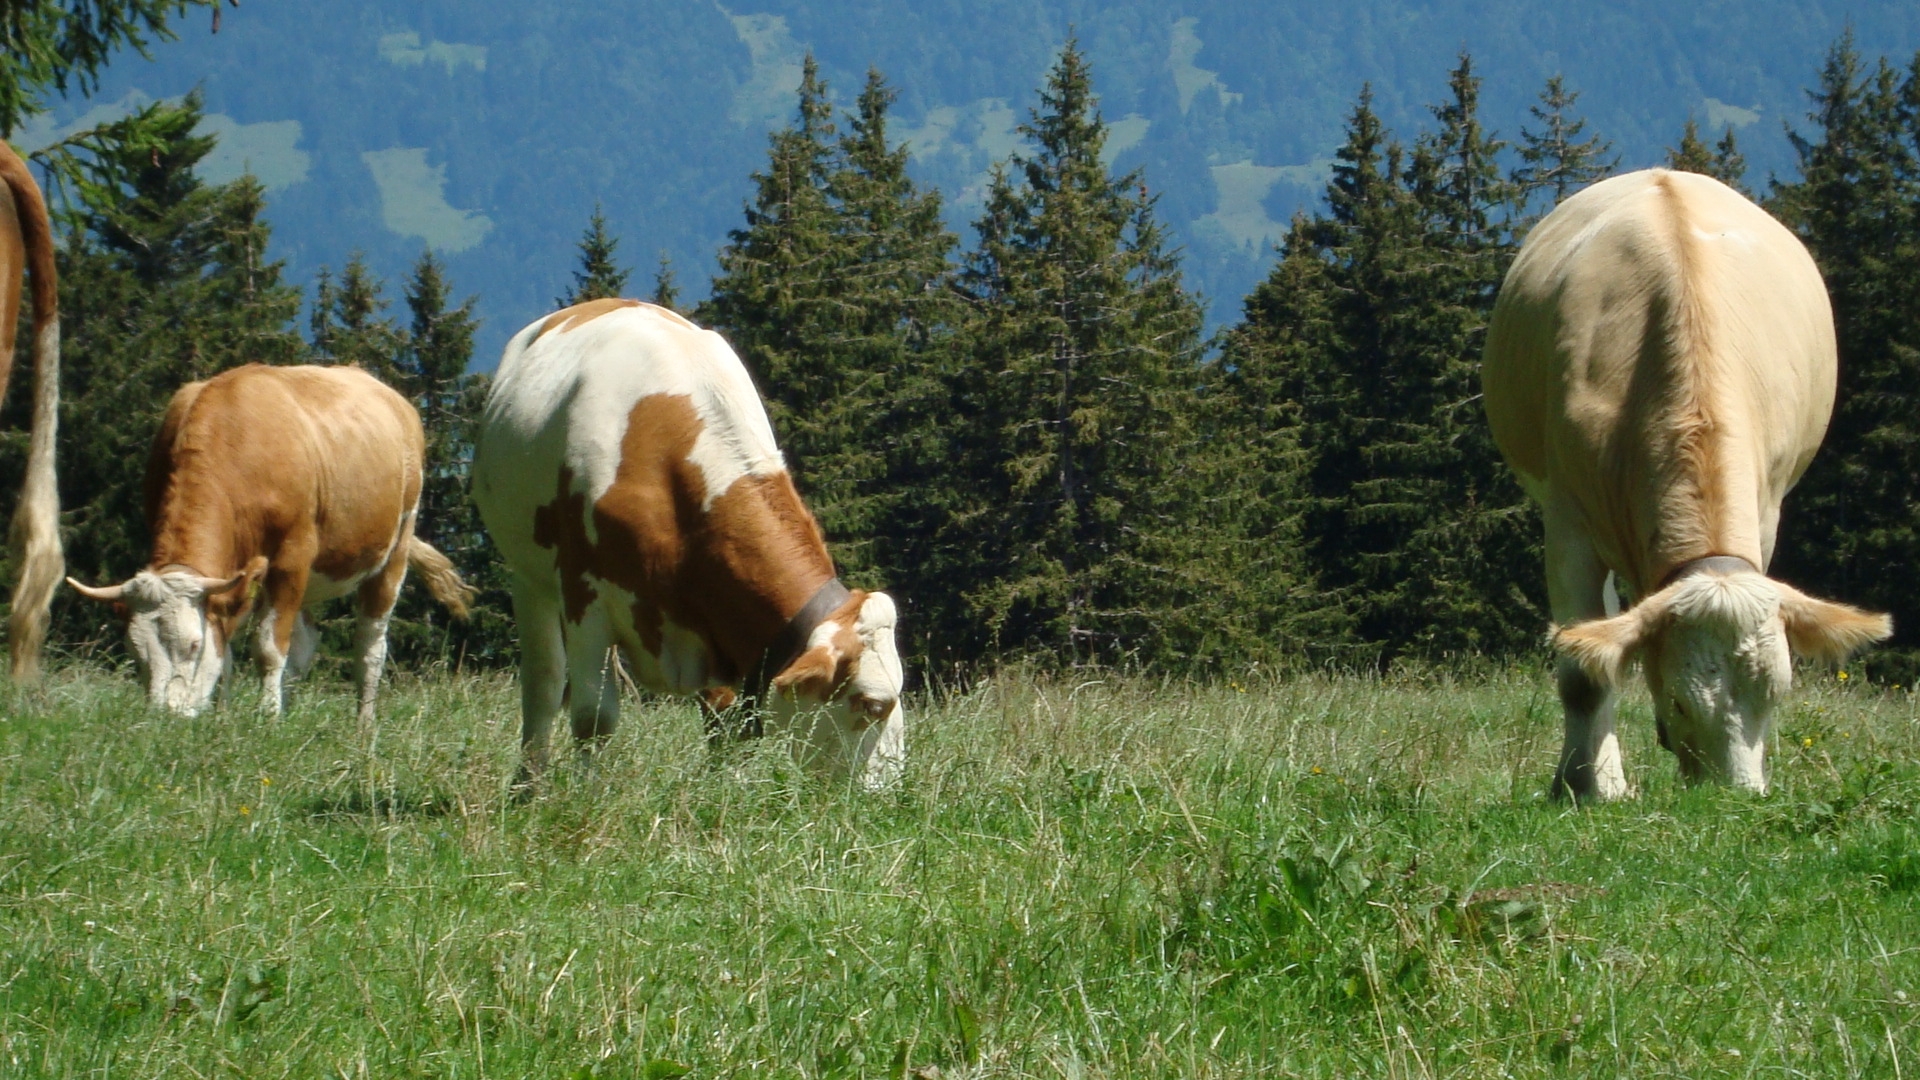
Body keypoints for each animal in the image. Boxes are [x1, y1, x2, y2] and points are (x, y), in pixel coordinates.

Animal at [68, 364, 475, 721]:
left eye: (193, 644)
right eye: (136, 653)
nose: (164, 717)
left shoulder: (291, 558)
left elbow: (267, 648)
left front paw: (265, 716)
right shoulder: (237, 577)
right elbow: (229, 652)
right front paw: (225, 717)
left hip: (395, 546)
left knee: (370, 646)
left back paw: (364, 725)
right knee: (306, 640)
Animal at [471, 299, 905, 788]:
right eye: (872, 704)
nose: (887, 795)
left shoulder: (718, 624)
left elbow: (726, 722)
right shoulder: (585, 595)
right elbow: (592, 717)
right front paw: (587, 794)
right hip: (528, 577)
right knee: (542, 684)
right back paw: (528, 784)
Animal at [1483, 168, 1891, 800]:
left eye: (1775, 694)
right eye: (1679, 702)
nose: (1736, 798)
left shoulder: (1765, 509)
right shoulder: (1566, 521)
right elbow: (1584, 672)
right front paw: (1591, 786)